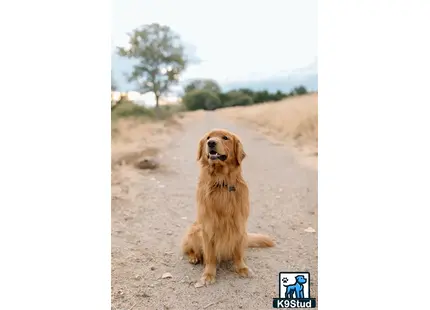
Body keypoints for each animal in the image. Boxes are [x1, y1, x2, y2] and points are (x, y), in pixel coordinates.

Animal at [181, 129, 274, 286]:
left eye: (225, 138)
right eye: (208, 137)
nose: (211, 143)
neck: (222, 182)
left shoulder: (238, 224)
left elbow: (238, 252)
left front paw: (242, 268)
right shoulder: (208, 227)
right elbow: (210, 256)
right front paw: (208, 274)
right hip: (194, 229)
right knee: (190, 249)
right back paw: (194, 257)